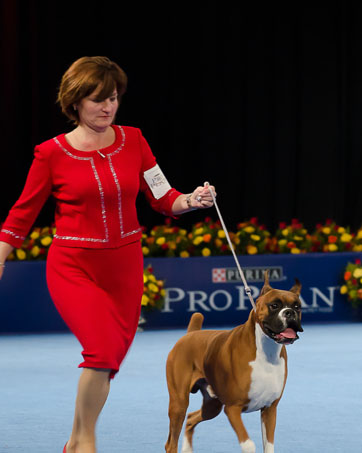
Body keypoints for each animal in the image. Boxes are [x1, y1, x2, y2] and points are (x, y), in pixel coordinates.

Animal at [165, 270, 304, 450]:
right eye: (274, 305)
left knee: (191, 418)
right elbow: (249, 444)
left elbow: (269, 445)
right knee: (171, 442)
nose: (290, 313)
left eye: (297, 307)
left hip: (212, 405)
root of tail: (190, 334)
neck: (266, 352)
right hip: (179, 403)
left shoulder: (269, 410)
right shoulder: (232, 409)